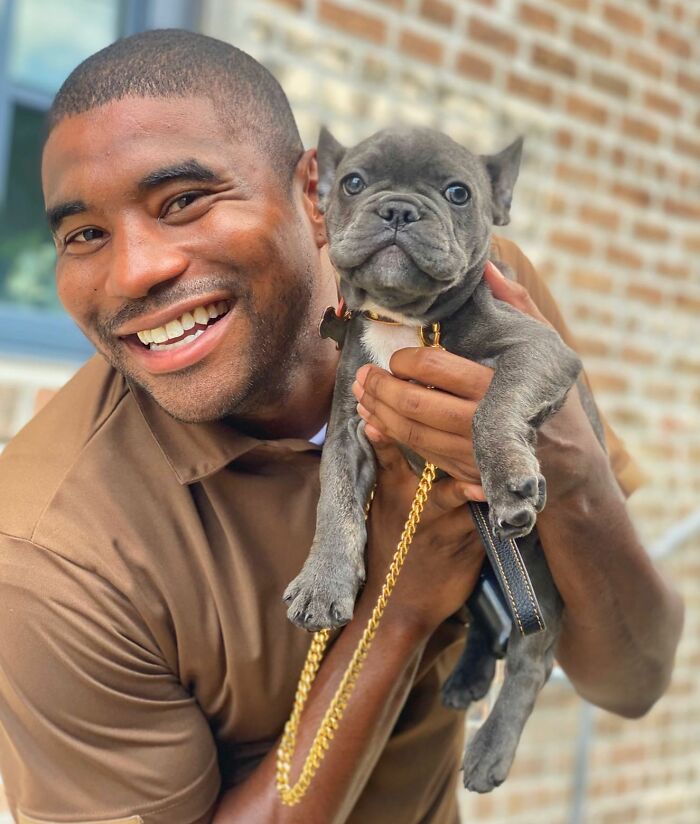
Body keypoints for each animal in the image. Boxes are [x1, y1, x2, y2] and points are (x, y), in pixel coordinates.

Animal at [284, 125, 584, 788]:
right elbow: (334, 502)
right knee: (489, 626)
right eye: (353, 182)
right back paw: (468, 678)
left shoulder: (540, 348)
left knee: (532, 652)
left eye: (457, 193)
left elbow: (493, 401)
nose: (398, 209)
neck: (404, 320)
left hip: (535, 569)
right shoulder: (348, 423)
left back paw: (492, 748)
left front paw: (508, 474)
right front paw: (324, 581)